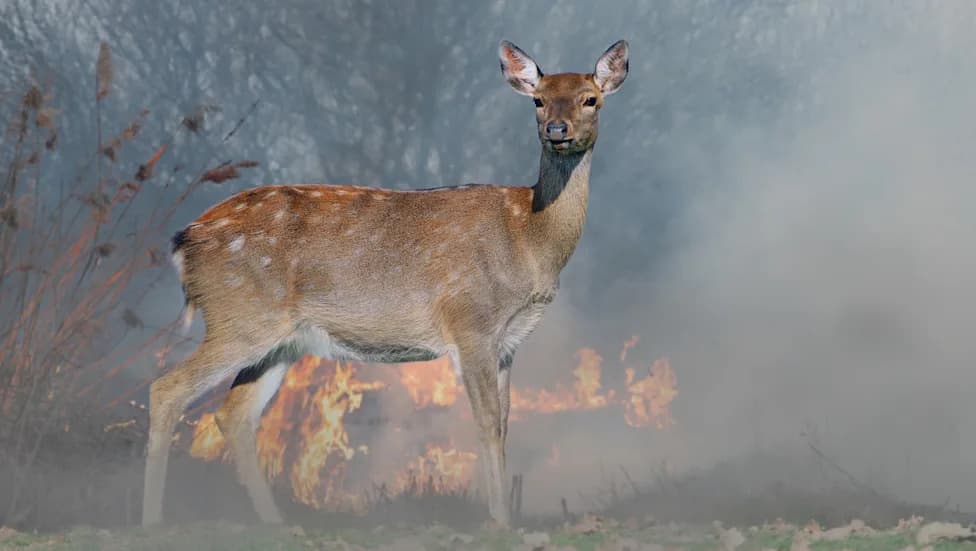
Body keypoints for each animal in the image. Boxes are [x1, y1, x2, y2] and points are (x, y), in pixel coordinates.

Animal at [142, 39, 629, 528]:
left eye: (590, 99)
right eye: (537, 100)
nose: (556, 129)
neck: (530, 237)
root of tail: (185, 242)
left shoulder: (508, 341)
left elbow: (506, 424)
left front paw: (505, 514)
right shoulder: (470, 322)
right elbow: (487, 424)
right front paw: (500, 521)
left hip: (281, 339)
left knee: (235, 413)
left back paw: (276, 521)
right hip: (240, 315)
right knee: (167, 389)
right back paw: (152, 518)